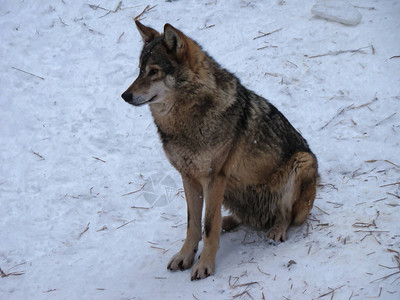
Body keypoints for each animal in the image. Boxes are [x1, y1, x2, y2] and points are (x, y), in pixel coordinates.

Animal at [122, 21, 318, 282]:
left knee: (284, 215)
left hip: (302, 162)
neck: (184, 121)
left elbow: (207, 227)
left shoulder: (213, 177)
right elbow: (194, 224)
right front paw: (185, 256)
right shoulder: (189, 178)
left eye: (154, 71)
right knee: (242, 218)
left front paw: (204, 265)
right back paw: (229, 221)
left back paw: (276, 230)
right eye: (140, 70)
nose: (125, 95)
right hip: (231, 191)